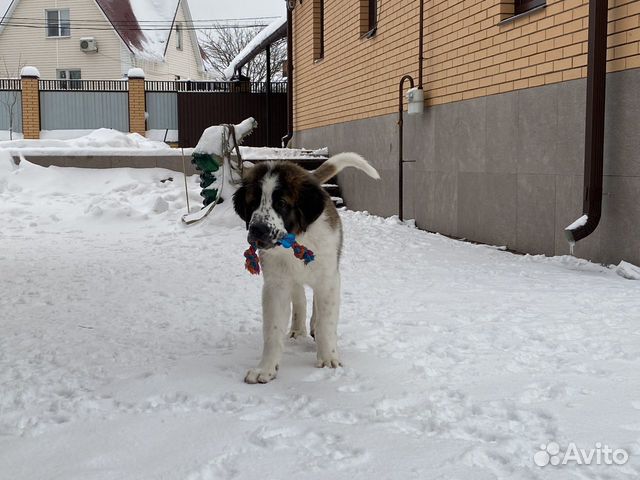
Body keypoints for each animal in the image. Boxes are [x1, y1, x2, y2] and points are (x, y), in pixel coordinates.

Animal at [232, 152, 378, 384]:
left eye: (281, 203)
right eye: (253, 202)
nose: (257, 230)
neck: (297, 240)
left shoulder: (328, 279)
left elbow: (327, 321)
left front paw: (328, 358)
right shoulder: (275, 285)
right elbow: (272, 330)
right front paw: (266, 368)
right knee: (299, 297)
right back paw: (297, 329)